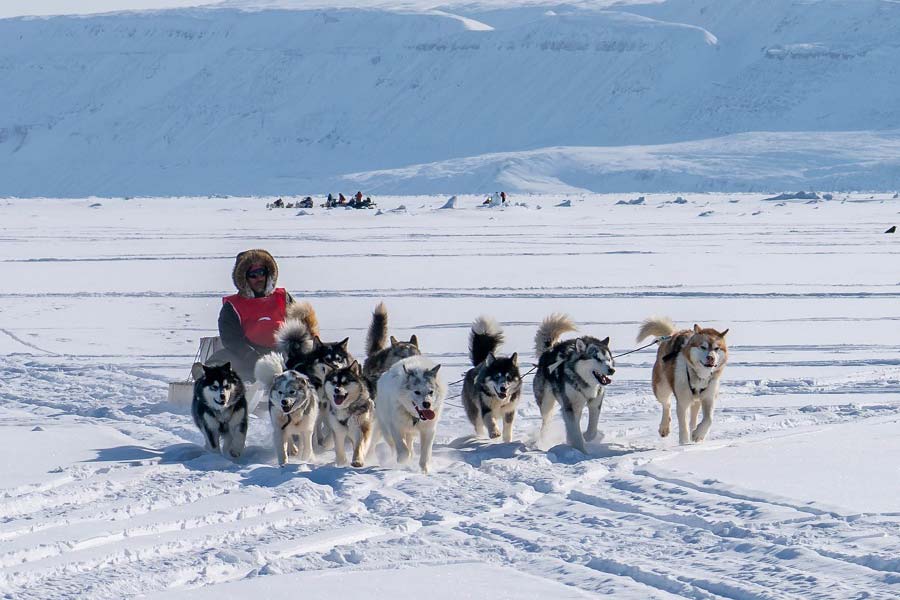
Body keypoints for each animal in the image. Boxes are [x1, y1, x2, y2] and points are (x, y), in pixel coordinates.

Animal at [532, 316, 616, 452]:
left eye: (608, 359)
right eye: (597, 358)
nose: (611, 370)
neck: (585, 382)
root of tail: (548, 351)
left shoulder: (595, 403)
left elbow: (592, 430)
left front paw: (586, 437)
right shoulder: (570, 406)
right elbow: (575, 433)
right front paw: (581, 451)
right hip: (547, 404)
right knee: (546, 423)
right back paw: (543, 440)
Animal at [636, 318, 728, 446]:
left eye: (717, 348)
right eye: (703, 347)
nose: (711, 358)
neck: (699, 375)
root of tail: (672, 335)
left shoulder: (709, 397)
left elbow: (709, 419)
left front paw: (698, 435)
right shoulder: (683, 401)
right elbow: (683, 424)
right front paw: (684, 444)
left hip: (696, 400)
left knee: (693, 418)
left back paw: (694, 430)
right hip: (661, 388)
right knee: (667, 404)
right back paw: (664, 427)